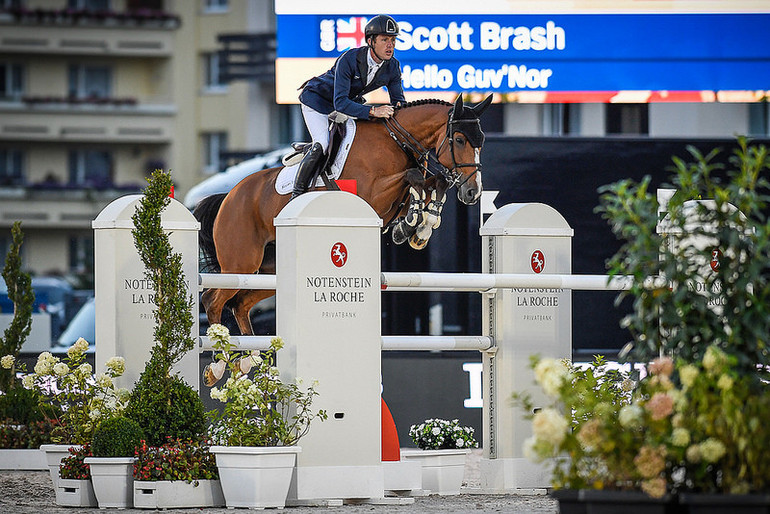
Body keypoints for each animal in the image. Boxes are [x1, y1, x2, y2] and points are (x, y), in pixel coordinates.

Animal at [194, 93, 492, 334]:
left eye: (482, 142)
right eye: (459, 140)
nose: (473, 193)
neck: (395, 142)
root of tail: (228, 197)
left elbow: (432, 182)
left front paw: (417, 226)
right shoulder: (371, 194)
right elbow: (413, 176)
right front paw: (412, 224)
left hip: (269, 270)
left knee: (240, 305)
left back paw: (248, 362)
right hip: (241, 262)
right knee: (212, 299)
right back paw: (223, 361)